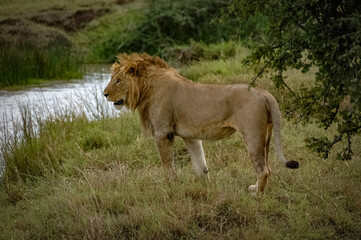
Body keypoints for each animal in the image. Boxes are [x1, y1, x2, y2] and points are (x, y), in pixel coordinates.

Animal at [102, 52, 298, 195]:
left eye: (118, 80)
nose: (104, 94)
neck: (146, 89)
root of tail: (264, 92)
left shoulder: (163, 132)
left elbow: (167, 166)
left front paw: (169, 188)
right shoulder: (191, 137)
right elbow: (200, 166)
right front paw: (206, 188)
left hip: (252, 135)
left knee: (263, 169)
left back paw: (256, 195)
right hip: (266, 136)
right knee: (268, 167)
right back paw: (255, 189)